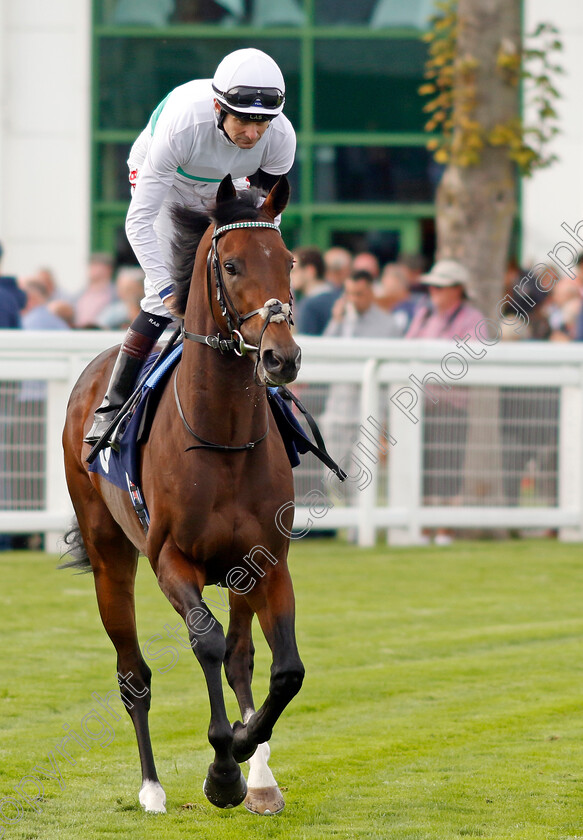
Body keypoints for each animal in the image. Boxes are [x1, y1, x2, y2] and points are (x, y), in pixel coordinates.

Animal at [63, 176, 306, 812]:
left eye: (289, 262)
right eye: (231, 264)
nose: (282, 357)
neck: (222, 438)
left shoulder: (266, 561)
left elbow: (283, 669)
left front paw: (247, 750)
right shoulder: (171, 560)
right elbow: (207, 643)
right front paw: (222, 768)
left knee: (244, 657)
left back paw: (261, 778)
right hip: (109, 557)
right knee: (134, 674)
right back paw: (151, 787)